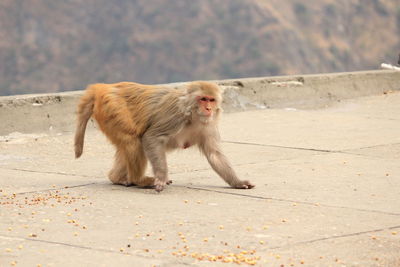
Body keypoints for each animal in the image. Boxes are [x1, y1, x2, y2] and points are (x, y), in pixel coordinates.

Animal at [74, 81, 255, 193]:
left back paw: (117, 178)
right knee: (134, 140)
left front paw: (238, 182)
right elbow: (151, 137)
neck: (193, 114)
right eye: (203, 99)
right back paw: (139, 180)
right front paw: (161, 177)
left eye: (211, 100)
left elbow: (214, 155)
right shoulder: (175, 117)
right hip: (113, 107)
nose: (209, 109)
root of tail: (103, 88)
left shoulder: (208, 126)